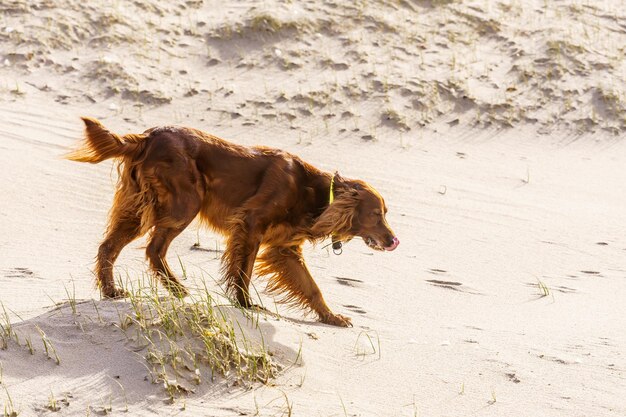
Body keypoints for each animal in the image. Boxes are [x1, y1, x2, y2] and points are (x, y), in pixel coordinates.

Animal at [68, 117, 398, 324]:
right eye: (376, 214)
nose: (394, 241)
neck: (314, 190)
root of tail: (147, 137)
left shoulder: (285, 250)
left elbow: (312, 288)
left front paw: (331, 317)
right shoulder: (250, 225)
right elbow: (243, 272)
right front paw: (245, 304)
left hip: (145, 208)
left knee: (112, 247)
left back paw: (117, 291)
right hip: (183, 205)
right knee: (150, 248)